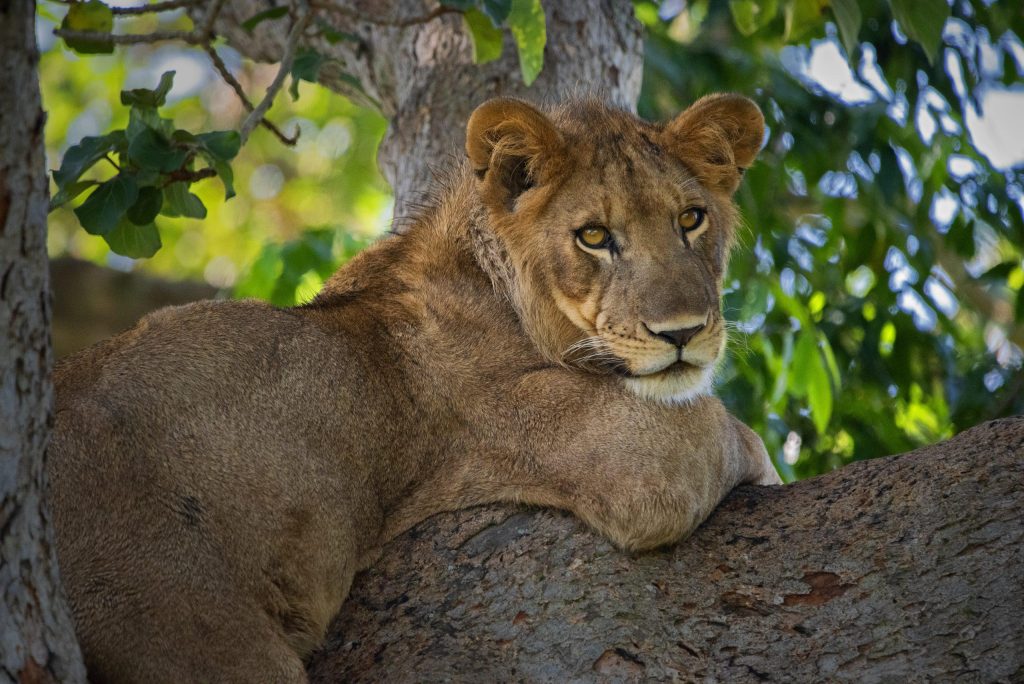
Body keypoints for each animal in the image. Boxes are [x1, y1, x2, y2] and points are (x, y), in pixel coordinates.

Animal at [48, 93, 780, 682]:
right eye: (594, 236)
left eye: (691, 219)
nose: (683, 332)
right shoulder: (610, 452)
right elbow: (717, 426)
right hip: (186, 622)